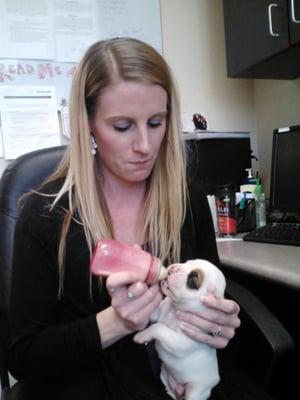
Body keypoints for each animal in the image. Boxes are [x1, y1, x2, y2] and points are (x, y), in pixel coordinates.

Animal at [134, 260, 225, 400]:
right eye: (187, 262)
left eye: (192, 280)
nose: (173, 268)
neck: (175, 309)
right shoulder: (156, 313)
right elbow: (152, 314)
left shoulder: (179, 341)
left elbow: (159, 327)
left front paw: (142, 335)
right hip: (164, 374)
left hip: (196, 391)